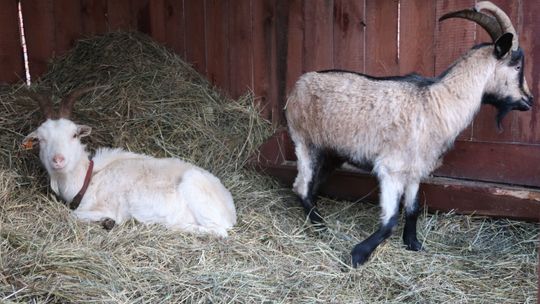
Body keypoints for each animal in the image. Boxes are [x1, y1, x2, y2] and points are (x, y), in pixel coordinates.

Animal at [23, 88, 236, 238]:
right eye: (40, 139)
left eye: (74, 135)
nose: (58, 159)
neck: (89, 179)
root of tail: (230, 211)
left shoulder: (106, 207)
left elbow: (74, 215)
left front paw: (109, 222)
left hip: (194, 186)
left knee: (219, 231)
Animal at [286, 0, 532, 266]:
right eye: (518, 66)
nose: (529, 101)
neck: (438, 102)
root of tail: (298, 85)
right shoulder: (391, 169)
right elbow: (390, 220)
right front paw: (358, 254)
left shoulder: (416, 170)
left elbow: (413, 209)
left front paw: (413, 243)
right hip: (304, 142)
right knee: (301, 185)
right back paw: (320, 224)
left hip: (331, 152)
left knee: (312, 184)